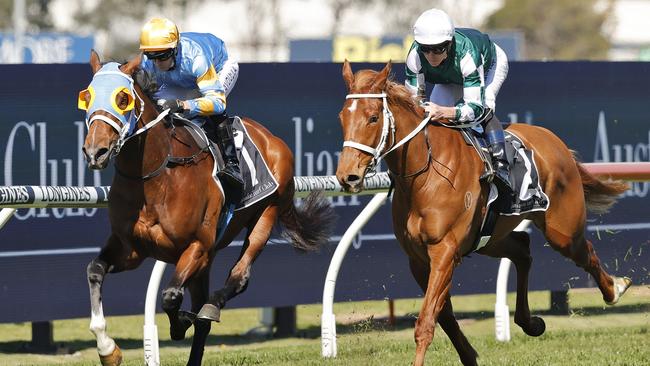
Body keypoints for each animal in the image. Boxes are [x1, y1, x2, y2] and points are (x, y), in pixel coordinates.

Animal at [79, 49, 334, 366]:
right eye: (86, 96)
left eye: (122, 98)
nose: (95, 151)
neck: (156, 174)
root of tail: (271, 138)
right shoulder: (132, 249)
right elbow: (95, 269)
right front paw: (107, 349)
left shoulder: (197, 245)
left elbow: (170, 296)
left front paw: (180, 323)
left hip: (266, 212)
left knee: (238, 278)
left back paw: (210, 307)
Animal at [334, 60, 628, 366]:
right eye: (342, 117)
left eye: (372, 117)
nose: (348, 176)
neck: (426, 174)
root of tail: (554, 141)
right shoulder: (419, 259)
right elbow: (444, 316)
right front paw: (469, 356)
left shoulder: (444, 252)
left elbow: (426, 321)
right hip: (489, 237)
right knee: (523, 250)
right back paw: (531, 322)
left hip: (562, 229)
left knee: (585, 251)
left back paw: (615, 289)